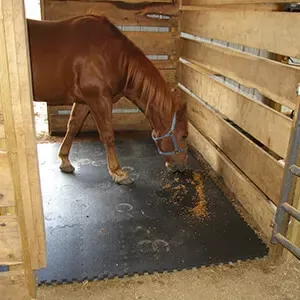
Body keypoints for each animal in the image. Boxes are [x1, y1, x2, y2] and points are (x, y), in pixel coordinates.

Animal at [27, 15, 189, 185]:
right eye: (184, 135)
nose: (183, 167)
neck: (112, 56)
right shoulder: (99, 99)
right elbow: (108, 135)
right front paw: (118, 172)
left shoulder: (84, 101)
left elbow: (73, 126)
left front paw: (65, 161)